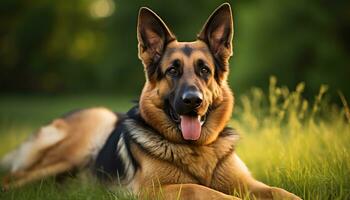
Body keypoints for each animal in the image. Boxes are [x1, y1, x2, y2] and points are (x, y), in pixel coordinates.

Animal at [0, 3, 300, 200]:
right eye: (172, 71)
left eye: (204, 70)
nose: (193, 101)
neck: (196, 149)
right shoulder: (154, 190)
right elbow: (202, 189)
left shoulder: (248, 182)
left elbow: (279, 191)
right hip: (81, 138)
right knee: (11, 178)